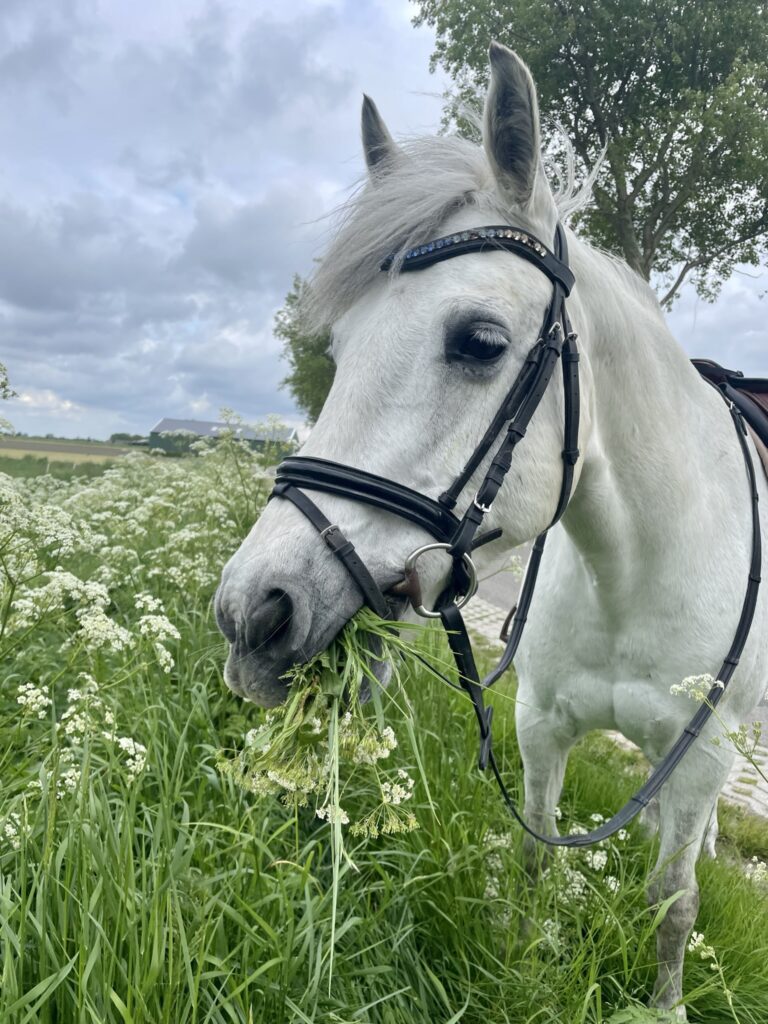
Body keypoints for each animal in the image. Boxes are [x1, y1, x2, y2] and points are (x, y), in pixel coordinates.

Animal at [215, 42, 768, 1018]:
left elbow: (674, 903)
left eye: (478, 341)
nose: (255, 611)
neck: (635, 573)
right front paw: (522, 949)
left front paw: (663, 1004)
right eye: (343, 348)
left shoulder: (705, 759)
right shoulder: (540, 724)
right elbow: (535, 853)